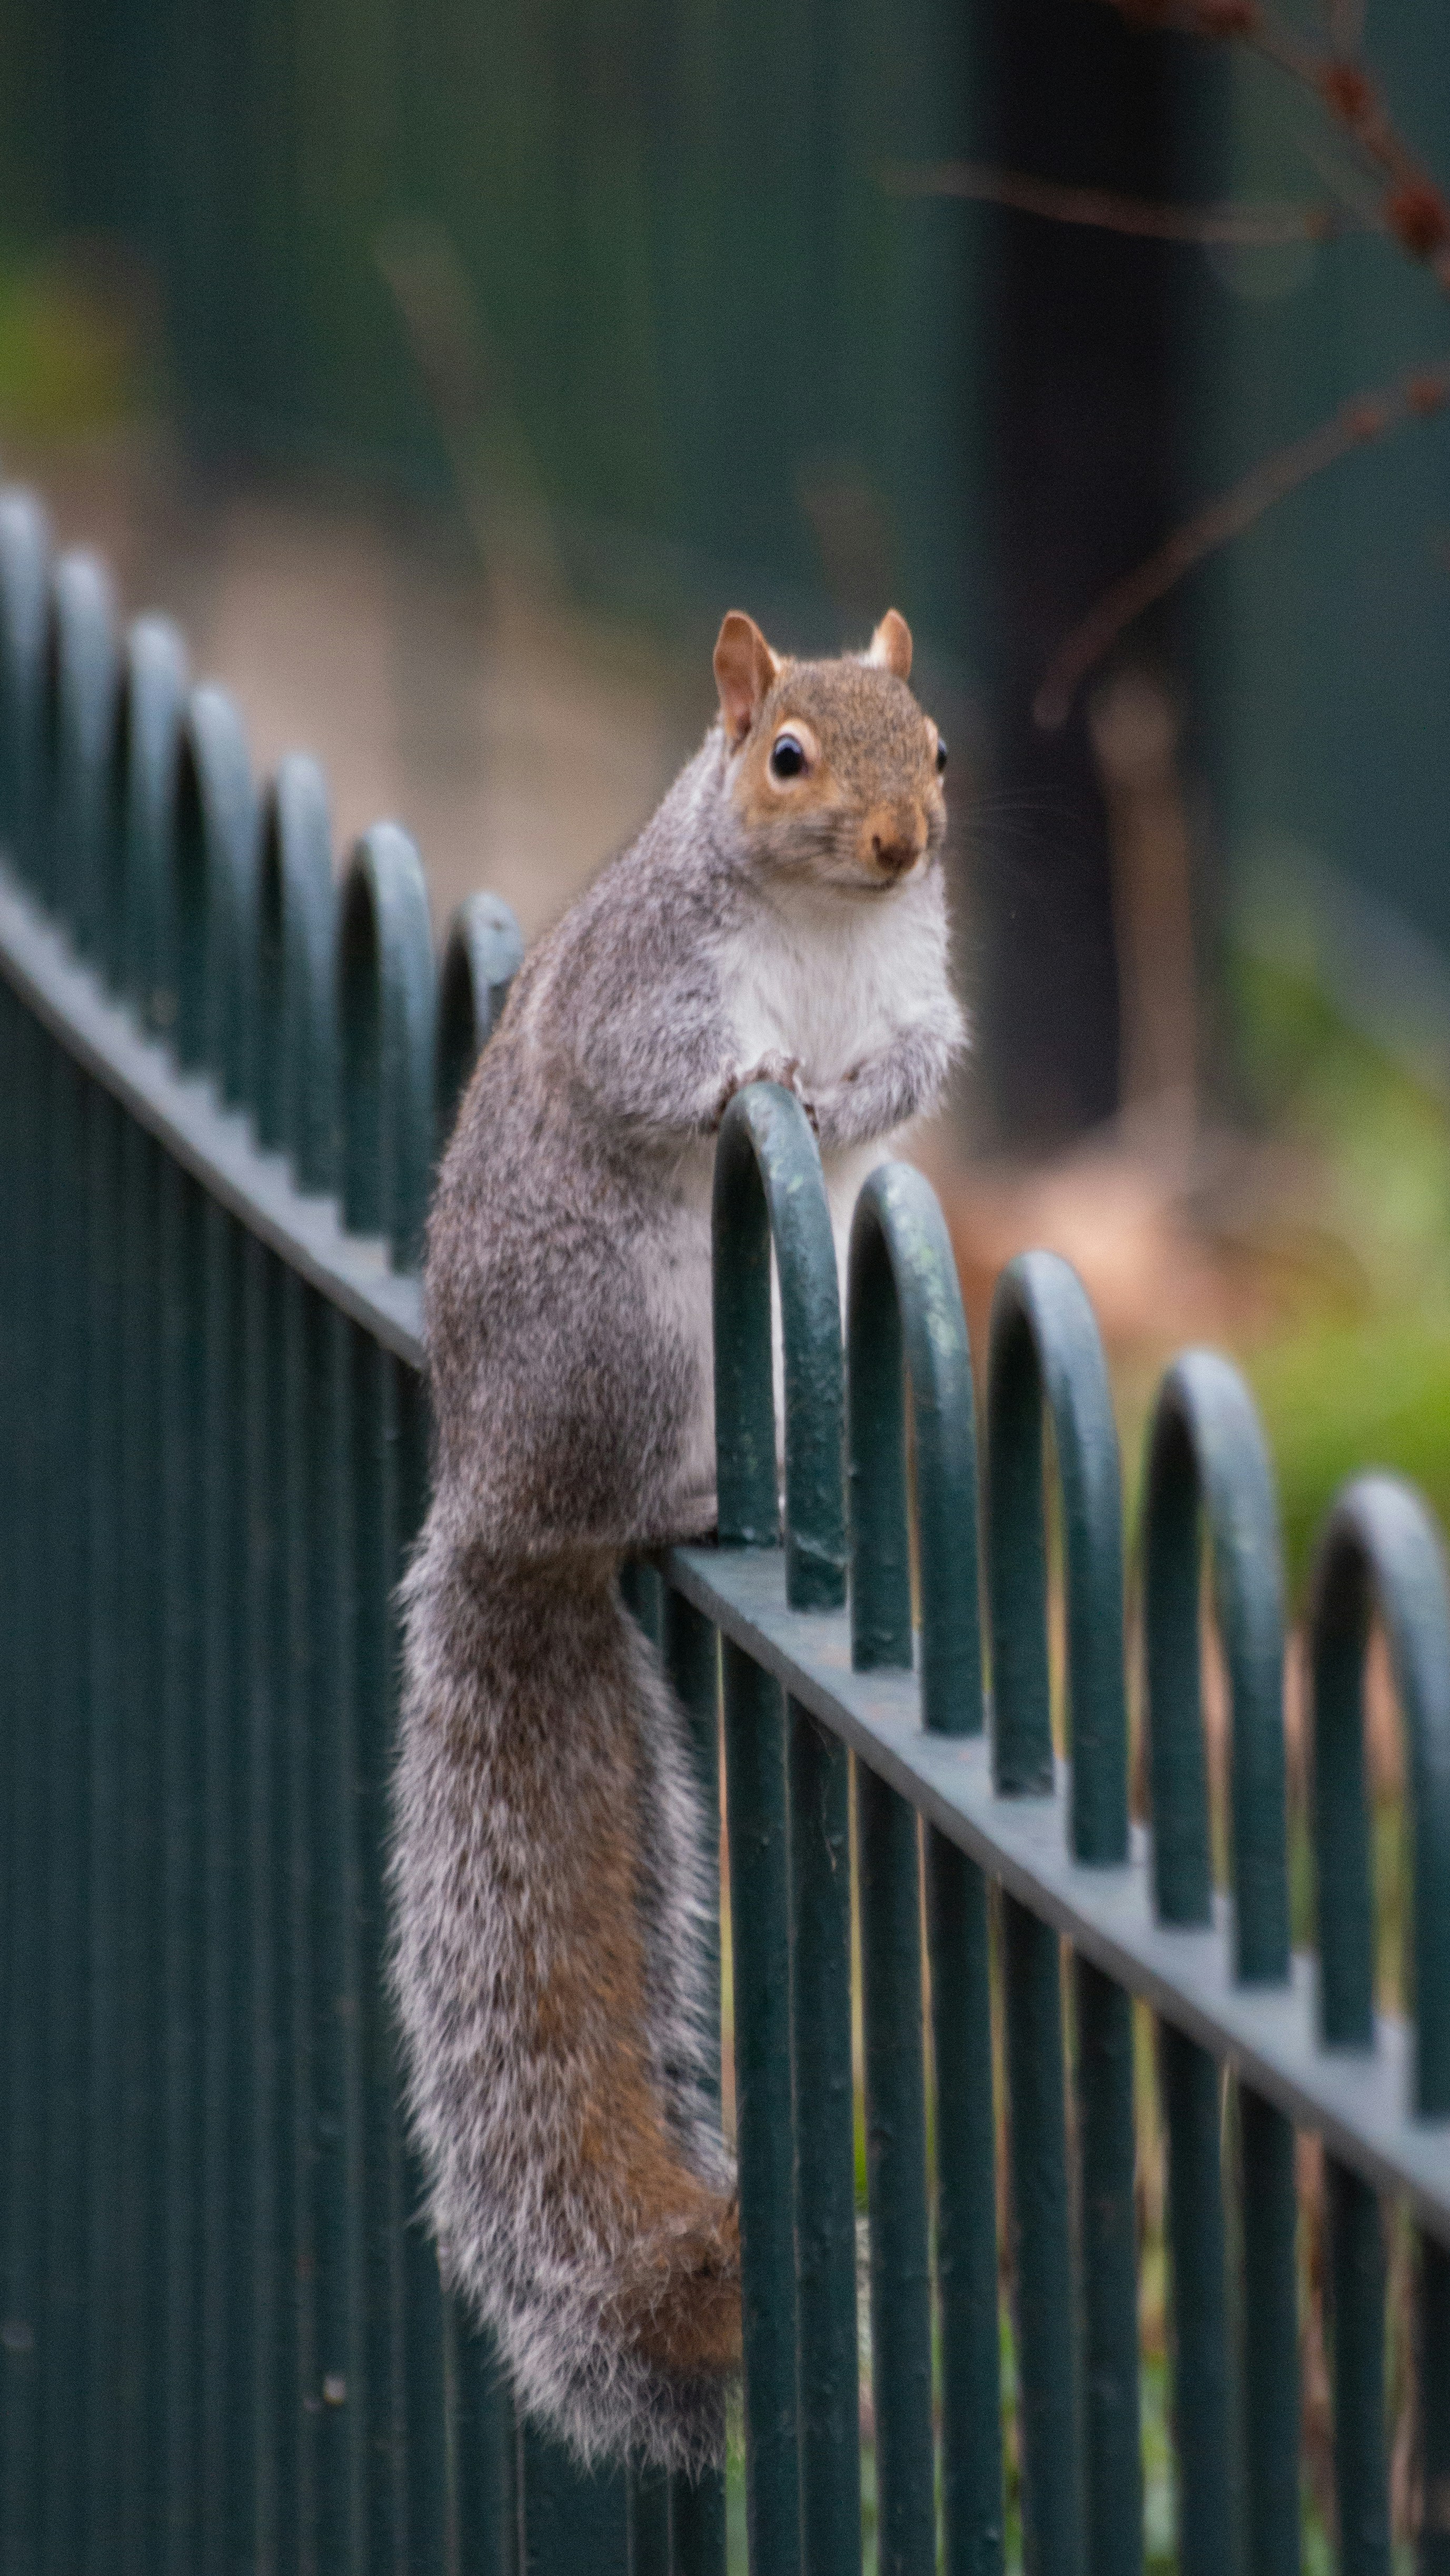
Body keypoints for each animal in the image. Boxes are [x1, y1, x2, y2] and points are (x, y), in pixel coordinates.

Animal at [391, 605, 965, 2475]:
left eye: (939, 749)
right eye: (784, 754)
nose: (903, 840)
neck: (831, 923)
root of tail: (501, 1496)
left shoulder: (921, 982)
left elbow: (921, 1058)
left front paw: (856, 1085)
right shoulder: (643, 982)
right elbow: (658, 1068)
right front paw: (764, 1078)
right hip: (630, 1345)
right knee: (638, 1488)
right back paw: (705, 1494)